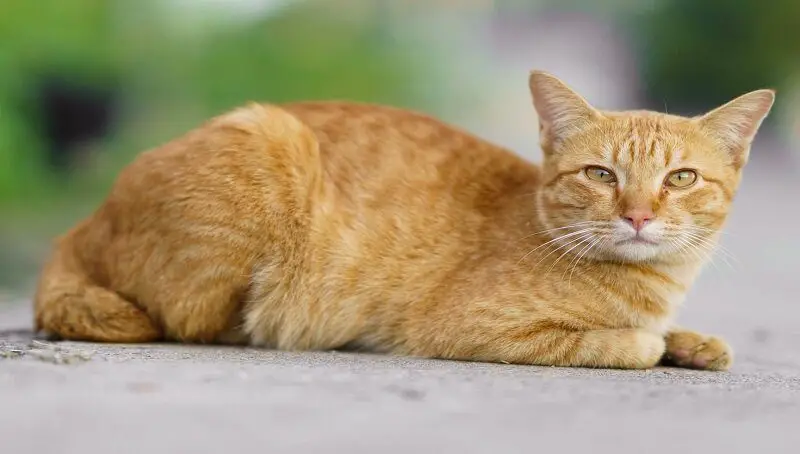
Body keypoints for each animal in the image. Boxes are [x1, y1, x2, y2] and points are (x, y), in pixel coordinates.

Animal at [32, 70, 776, 368]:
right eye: (602, 176)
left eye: (680, 179)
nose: (639, 215)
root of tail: (78, 227)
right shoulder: (470, 328)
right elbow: (614, 342)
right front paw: (649, 343)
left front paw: (691, 342)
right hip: (268, 142)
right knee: (193, 320)